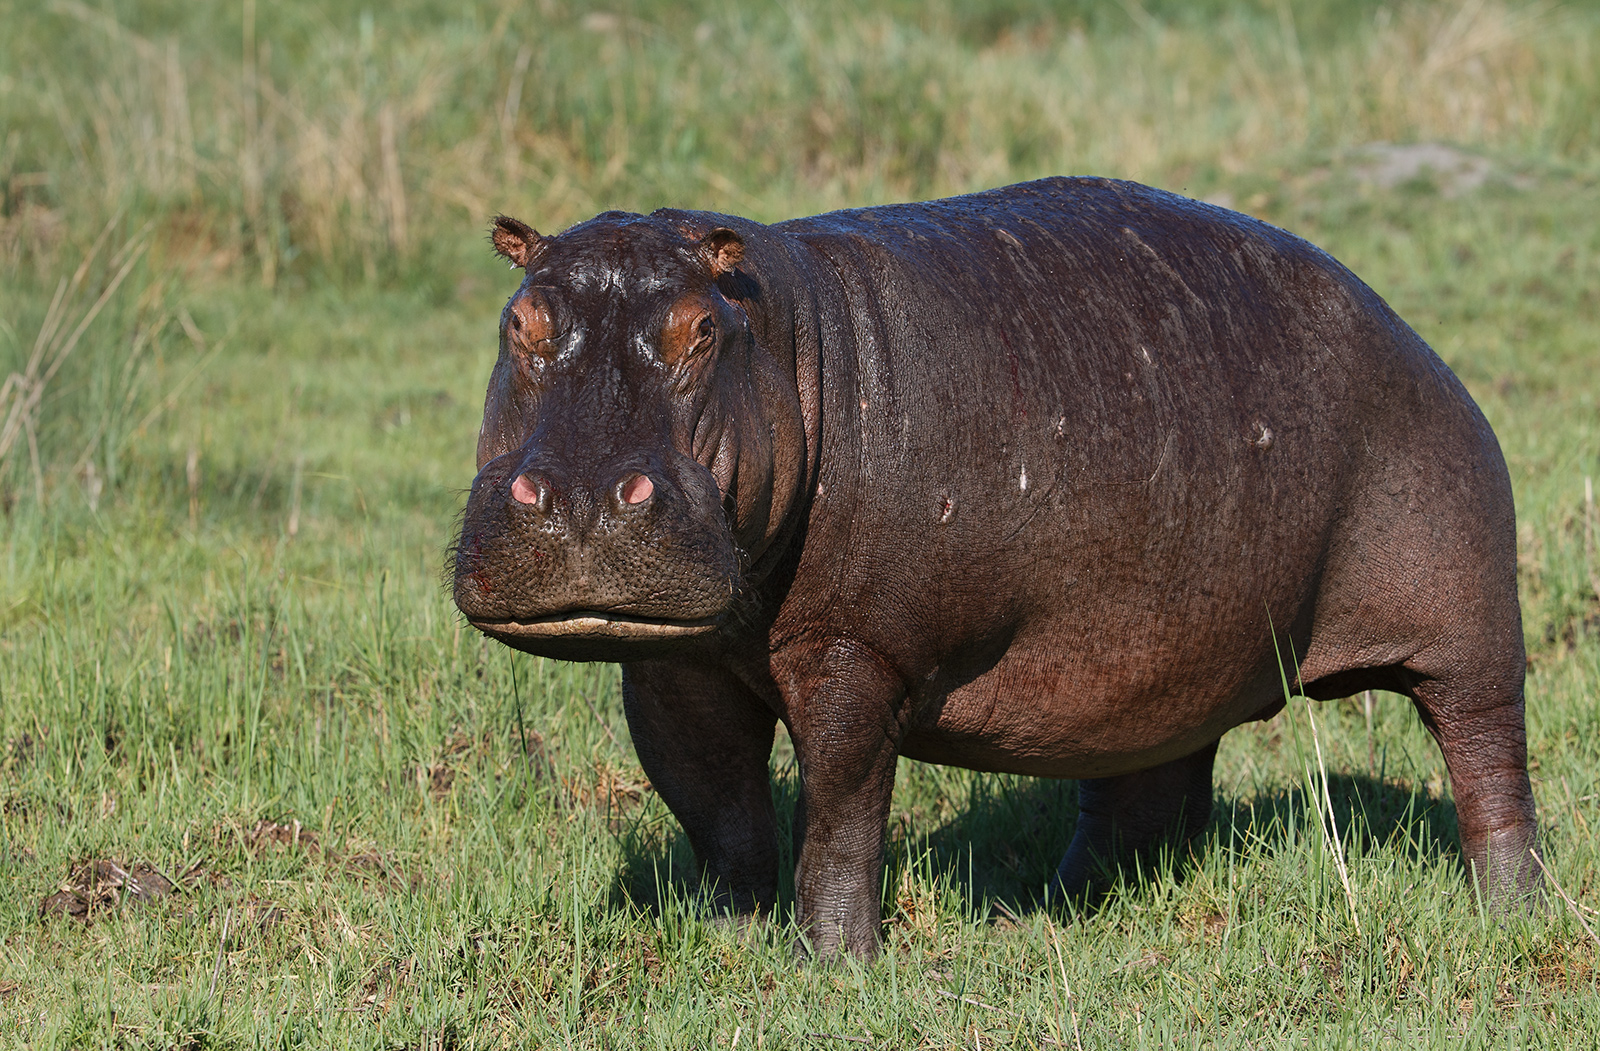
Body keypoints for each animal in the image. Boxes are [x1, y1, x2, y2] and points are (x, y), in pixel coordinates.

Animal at [452, 177, 1540, 959]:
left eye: (702, 330)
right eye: (519, 323)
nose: (582, 496)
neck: (791, 342)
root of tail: (1413, 335)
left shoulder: (855, 649)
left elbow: (841, 809)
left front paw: (831, 963)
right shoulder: (674, 661)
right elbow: (715, 805)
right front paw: (728, 941)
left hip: (1467, 622)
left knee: (1486, 759)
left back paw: (1511, 913)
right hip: (1162, 659)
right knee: (1142, 789)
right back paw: (1048, 911)